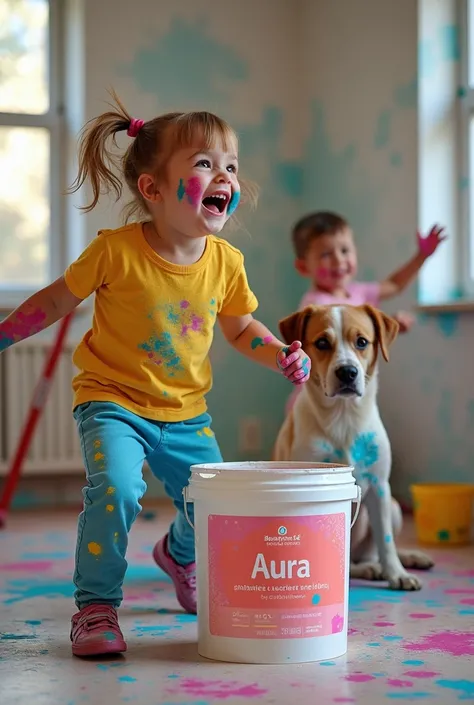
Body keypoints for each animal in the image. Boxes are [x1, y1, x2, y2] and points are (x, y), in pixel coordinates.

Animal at [274, 302, 434, 588]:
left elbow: (386, 541)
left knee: (375, 551)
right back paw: (370, 569)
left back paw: (406, 559)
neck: (344, 418)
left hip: (393, 507)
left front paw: (398, 574)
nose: (347, 372)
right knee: (352, 564)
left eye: (362, 341)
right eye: (322, 342)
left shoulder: (380, 486)